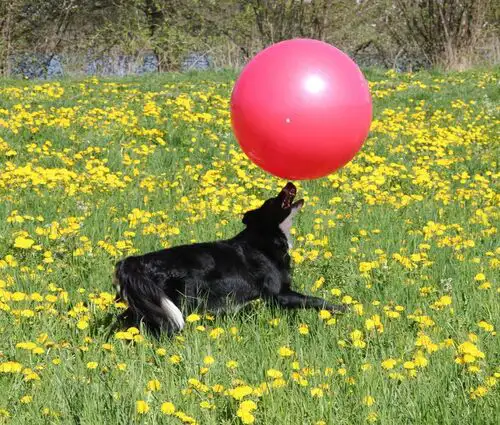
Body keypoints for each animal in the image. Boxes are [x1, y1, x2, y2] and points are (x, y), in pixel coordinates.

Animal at [114, 182, 346, 334]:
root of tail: (137, 261)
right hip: (178, 300)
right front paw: (342, 308)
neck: (267, 235)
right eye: (274, 200)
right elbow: (315, 300)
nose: (289, 183)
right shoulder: (279, 294)